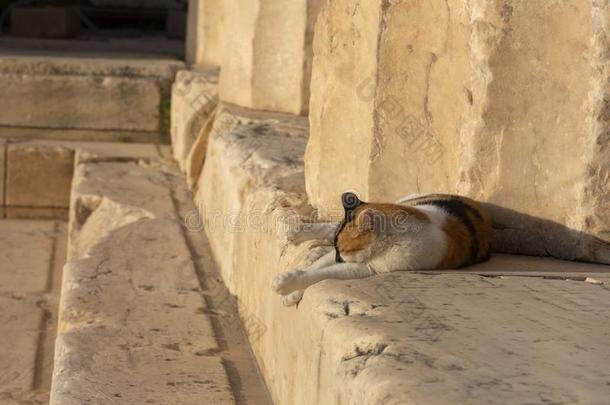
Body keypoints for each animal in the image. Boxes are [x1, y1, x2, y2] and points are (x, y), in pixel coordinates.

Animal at [274, 191, 492, 304]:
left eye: (343, 250)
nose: (336, 257)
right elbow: (316, 266)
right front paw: (292, 290)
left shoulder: (366, 268)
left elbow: (321, 274)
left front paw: (287, 286)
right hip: (408, 200)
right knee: (331, 226)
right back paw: (297, 233)